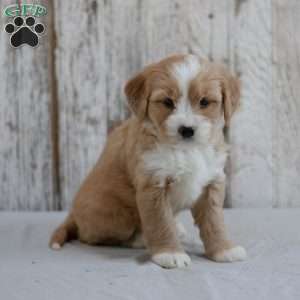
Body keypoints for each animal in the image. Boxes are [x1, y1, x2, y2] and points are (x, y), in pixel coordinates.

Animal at [49, 54, 246, 270]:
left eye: (204, 102)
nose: (186, 130)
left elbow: (214, 220)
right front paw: (170, 253)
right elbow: (160, 222)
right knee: (93, 236)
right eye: (167, 102)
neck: (186, 151)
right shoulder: (152, 184)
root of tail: (72, 214)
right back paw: (141, 239)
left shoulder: (212, 182)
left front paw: (224, 249)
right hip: (117, 219)